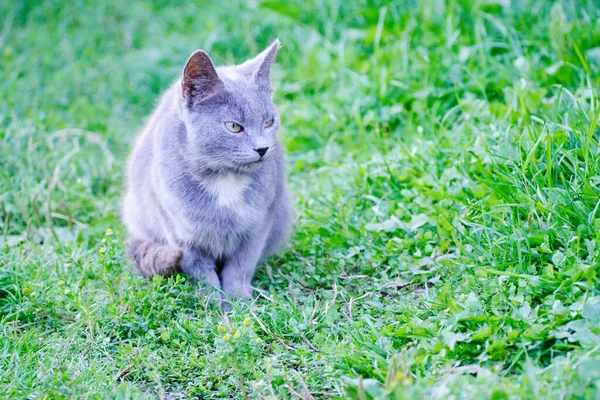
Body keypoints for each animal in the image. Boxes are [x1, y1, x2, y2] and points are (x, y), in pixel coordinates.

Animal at [122, 40, 290, 308]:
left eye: (268, 122)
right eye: (234, 126)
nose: (263, 149)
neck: (225, 179)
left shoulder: (260, 223)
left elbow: (241, 266)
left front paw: (239, 303)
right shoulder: (180, 232)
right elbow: (201, 272)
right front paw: (213, 305)